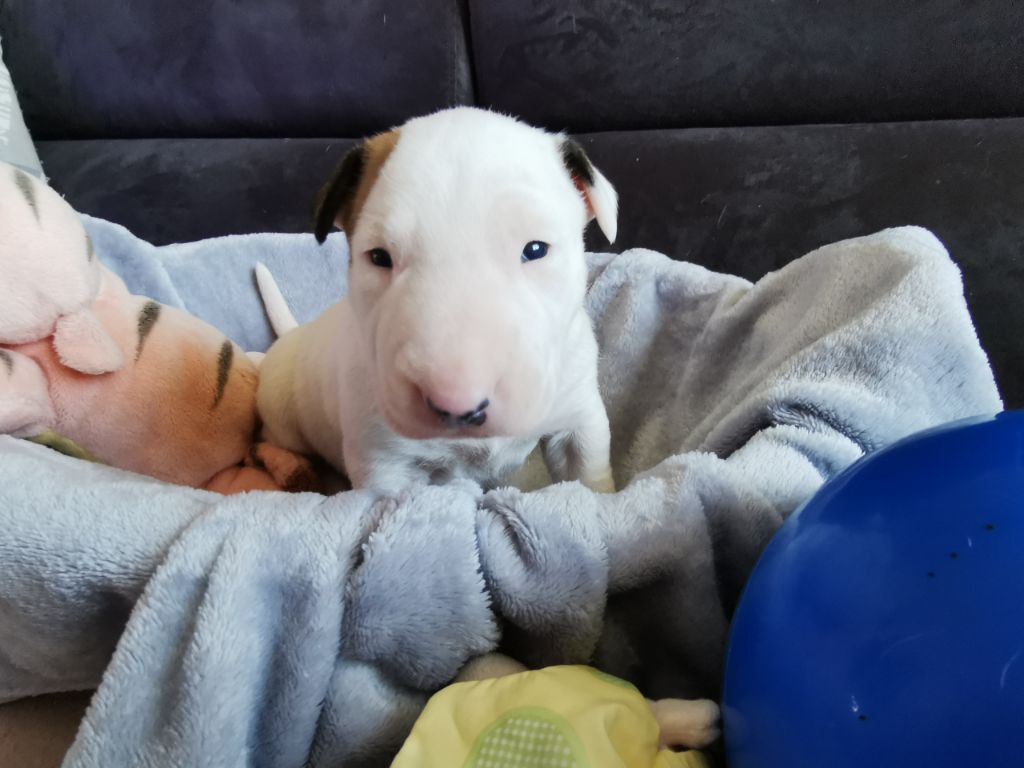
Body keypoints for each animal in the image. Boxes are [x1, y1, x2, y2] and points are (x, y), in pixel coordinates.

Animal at [256, 107, 618, 493]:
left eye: (535, 249)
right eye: (379, 257)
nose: (457, 404)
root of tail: (294, 335)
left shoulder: (579, 418)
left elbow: (589, 479)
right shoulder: (382, 460)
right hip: (281, 414)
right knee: (265, 443)